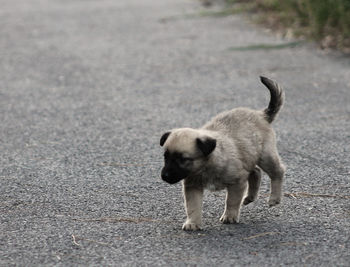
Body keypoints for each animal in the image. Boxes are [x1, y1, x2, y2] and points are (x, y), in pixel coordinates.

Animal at [160, 76, 286, 231]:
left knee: (277, 172)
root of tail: (261, 114)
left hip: (265, 156)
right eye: (165, 157)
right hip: (249, 157)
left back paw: (274, 198)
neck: (207, 164)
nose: (164, 176)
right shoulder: (192, 186)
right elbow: (193, 206)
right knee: (256, 172)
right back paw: (249, 197)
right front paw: (193, 223)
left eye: (183, 159)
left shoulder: (237, 182)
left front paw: (230, 216)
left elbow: (231, 201)